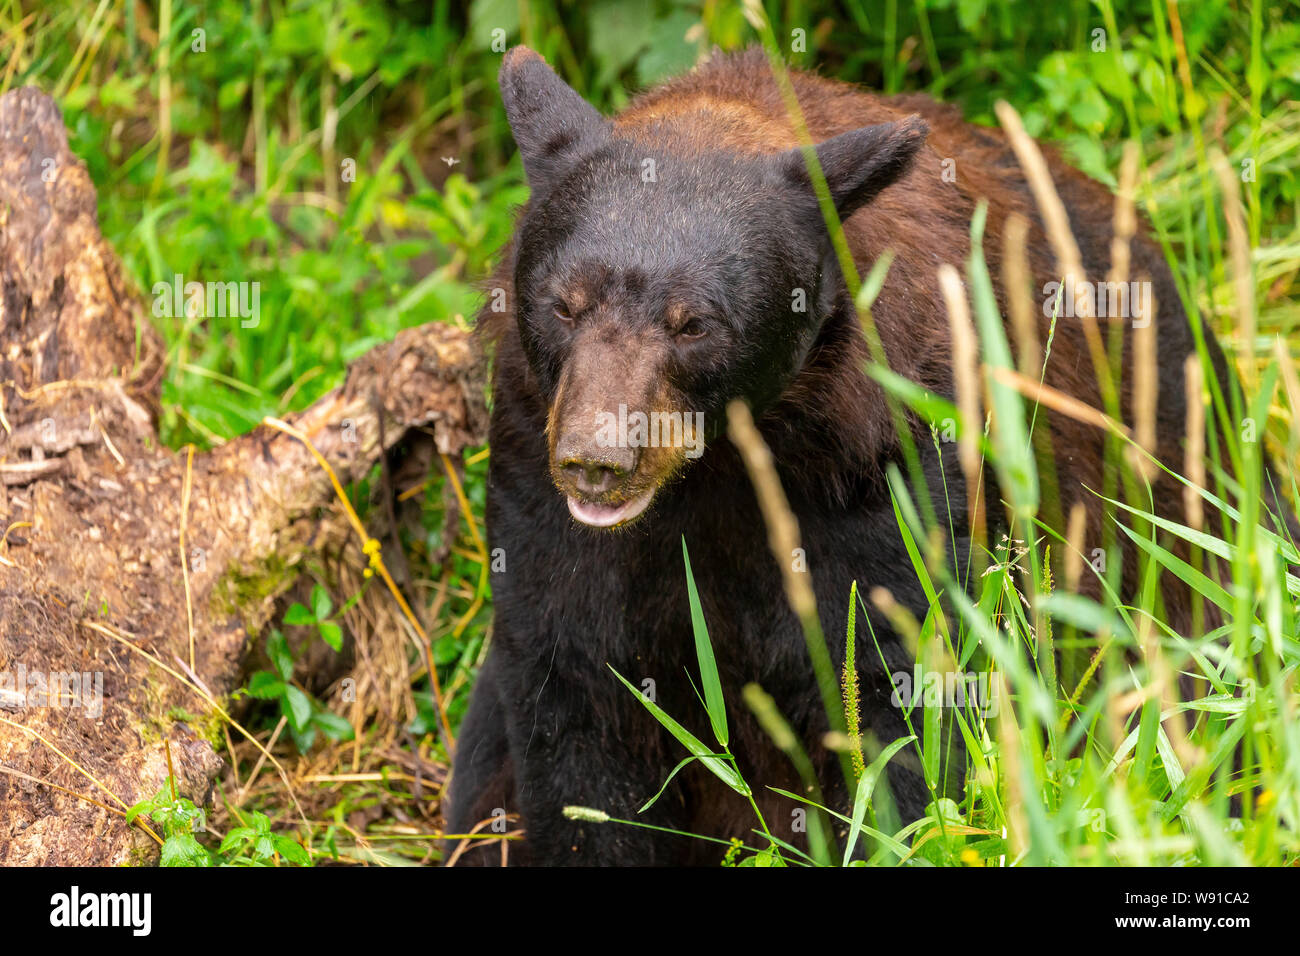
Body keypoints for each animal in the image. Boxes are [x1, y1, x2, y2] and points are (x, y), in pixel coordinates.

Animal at [442, 45, 1289, 866]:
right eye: (563, 305)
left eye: (694, 323)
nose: (598, 460)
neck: (725, 464)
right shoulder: (538, 483)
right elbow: (579, 713)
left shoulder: (887, 469)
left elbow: (902, 698)